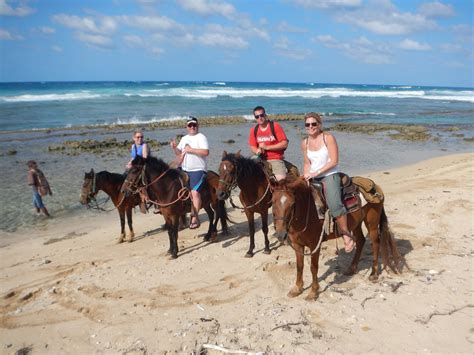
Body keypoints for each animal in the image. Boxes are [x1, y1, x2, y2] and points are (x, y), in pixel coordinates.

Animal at [272, 177, 402, 302]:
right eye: (272, 202)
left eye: (292, 204)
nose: (280, 234)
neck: (309, 211)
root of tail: (376, 187)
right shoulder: (297, 245)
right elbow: (299, 266)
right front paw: (297, 288)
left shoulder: (315, 245)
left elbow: (313, 268)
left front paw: (313, 292)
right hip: (356, 224)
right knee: (360, 241)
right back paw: (351, 269)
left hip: (372, 223)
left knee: (375, 243)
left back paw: (374, 274)